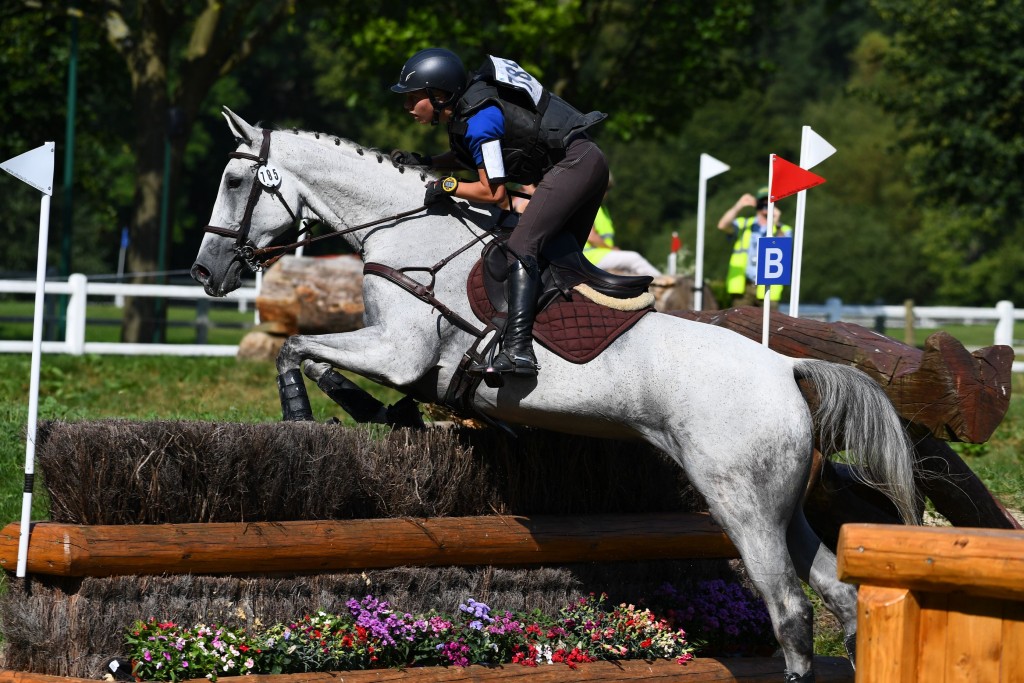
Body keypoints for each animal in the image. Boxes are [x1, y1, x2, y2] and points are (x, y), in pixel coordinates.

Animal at [192, 105, 921, 679]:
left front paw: (318, 410)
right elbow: (311, 355)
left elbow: (298, 349)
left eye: (233, 181)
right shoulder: (396, 354)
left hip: (742, 501)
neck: (406, 231)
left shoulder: (398, 352)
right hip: (781, 505)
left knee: (790, 608)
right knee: (837, 595)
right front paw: (383, 410)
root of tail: (787, 369)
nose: (205, 271)